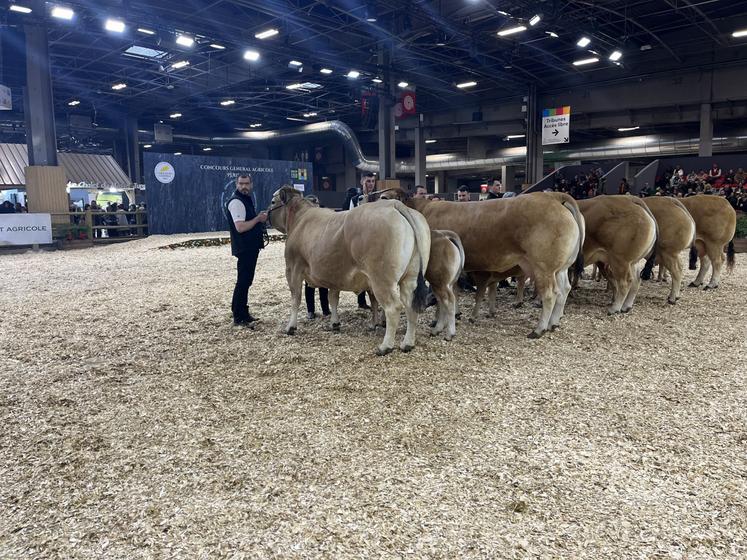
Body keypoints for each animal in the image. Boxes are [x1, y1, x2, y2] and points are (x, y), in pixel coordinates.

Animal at [268, 187, 432, 354]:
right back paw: (407, 343)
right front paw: (335, 323)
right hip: (410, 277)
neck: (299, 219)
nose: (265, 215)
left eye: (273, 201)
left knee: (393, 307)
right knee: (410, 305)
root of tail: (394, 204)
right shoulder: (334, 274)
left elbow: (296, 299)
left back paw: (385, 346)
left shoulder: (293, 269)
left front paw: (290, 327)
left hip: (382, 279)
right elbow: (333, 298)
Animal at [380, 189, 584, 336]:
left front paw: (439, 321)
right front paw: (454, 315)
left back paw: (539, 329)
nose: (381, 198)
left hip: (543, 267)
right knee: (564, 290)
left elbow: (442, 297)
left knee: (550, 294)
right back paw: (553, 323)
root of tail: (554, 196)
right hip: (561, 268)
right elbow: (453, 292)